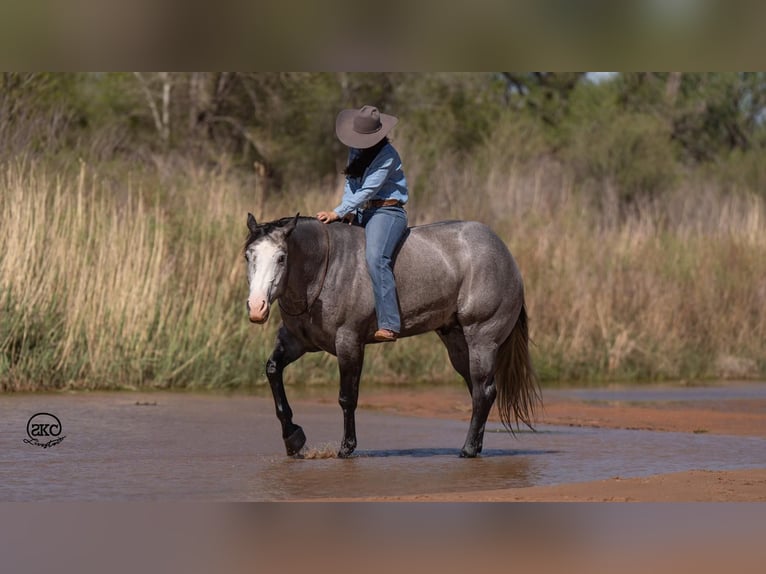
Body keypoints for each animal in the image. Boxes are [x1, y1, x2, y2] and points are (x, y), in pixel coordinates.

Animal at [244, 214, 540, 462]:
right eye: (249, 256)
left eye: (281, 257)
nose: (257, 307)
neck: (324, 270)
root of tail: (504, 253)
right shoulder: (296, 341)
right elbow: (273, 371)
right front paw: (293, 438)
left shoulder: (349, 342)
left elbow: (347, 397)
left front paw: (346, 447)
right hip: (457, 343)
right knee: (479, 392)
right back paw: (475, 446)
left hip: (482, 339)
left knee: (483, 391)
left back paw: (467, 450)